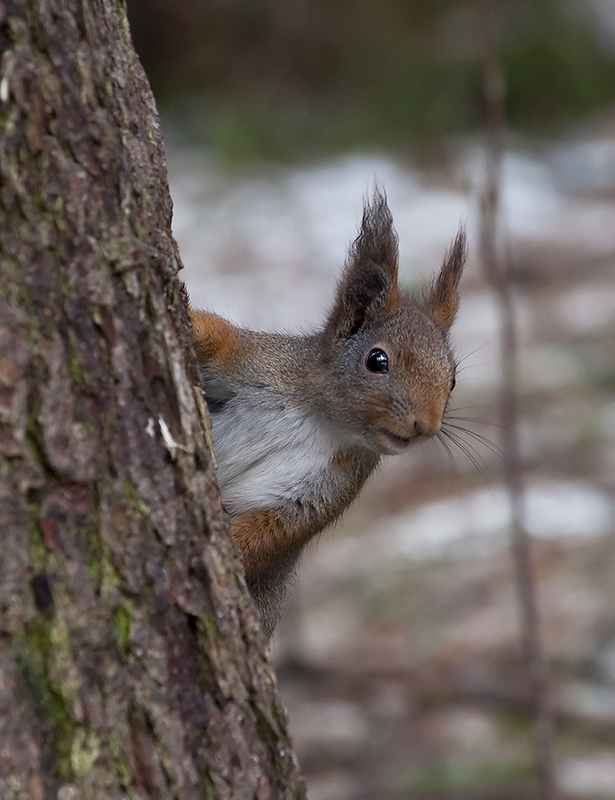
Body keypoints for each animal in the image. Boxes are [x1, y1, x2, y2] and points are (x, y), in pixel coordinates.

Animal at [189, 189, 466, 636]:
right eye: (376, 360)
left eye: (453, 380)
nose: (426, 426)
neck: (318, 418)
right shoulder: (261, 363)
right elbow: (221, 338)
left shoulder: (335, 481)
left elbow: (278, 531)